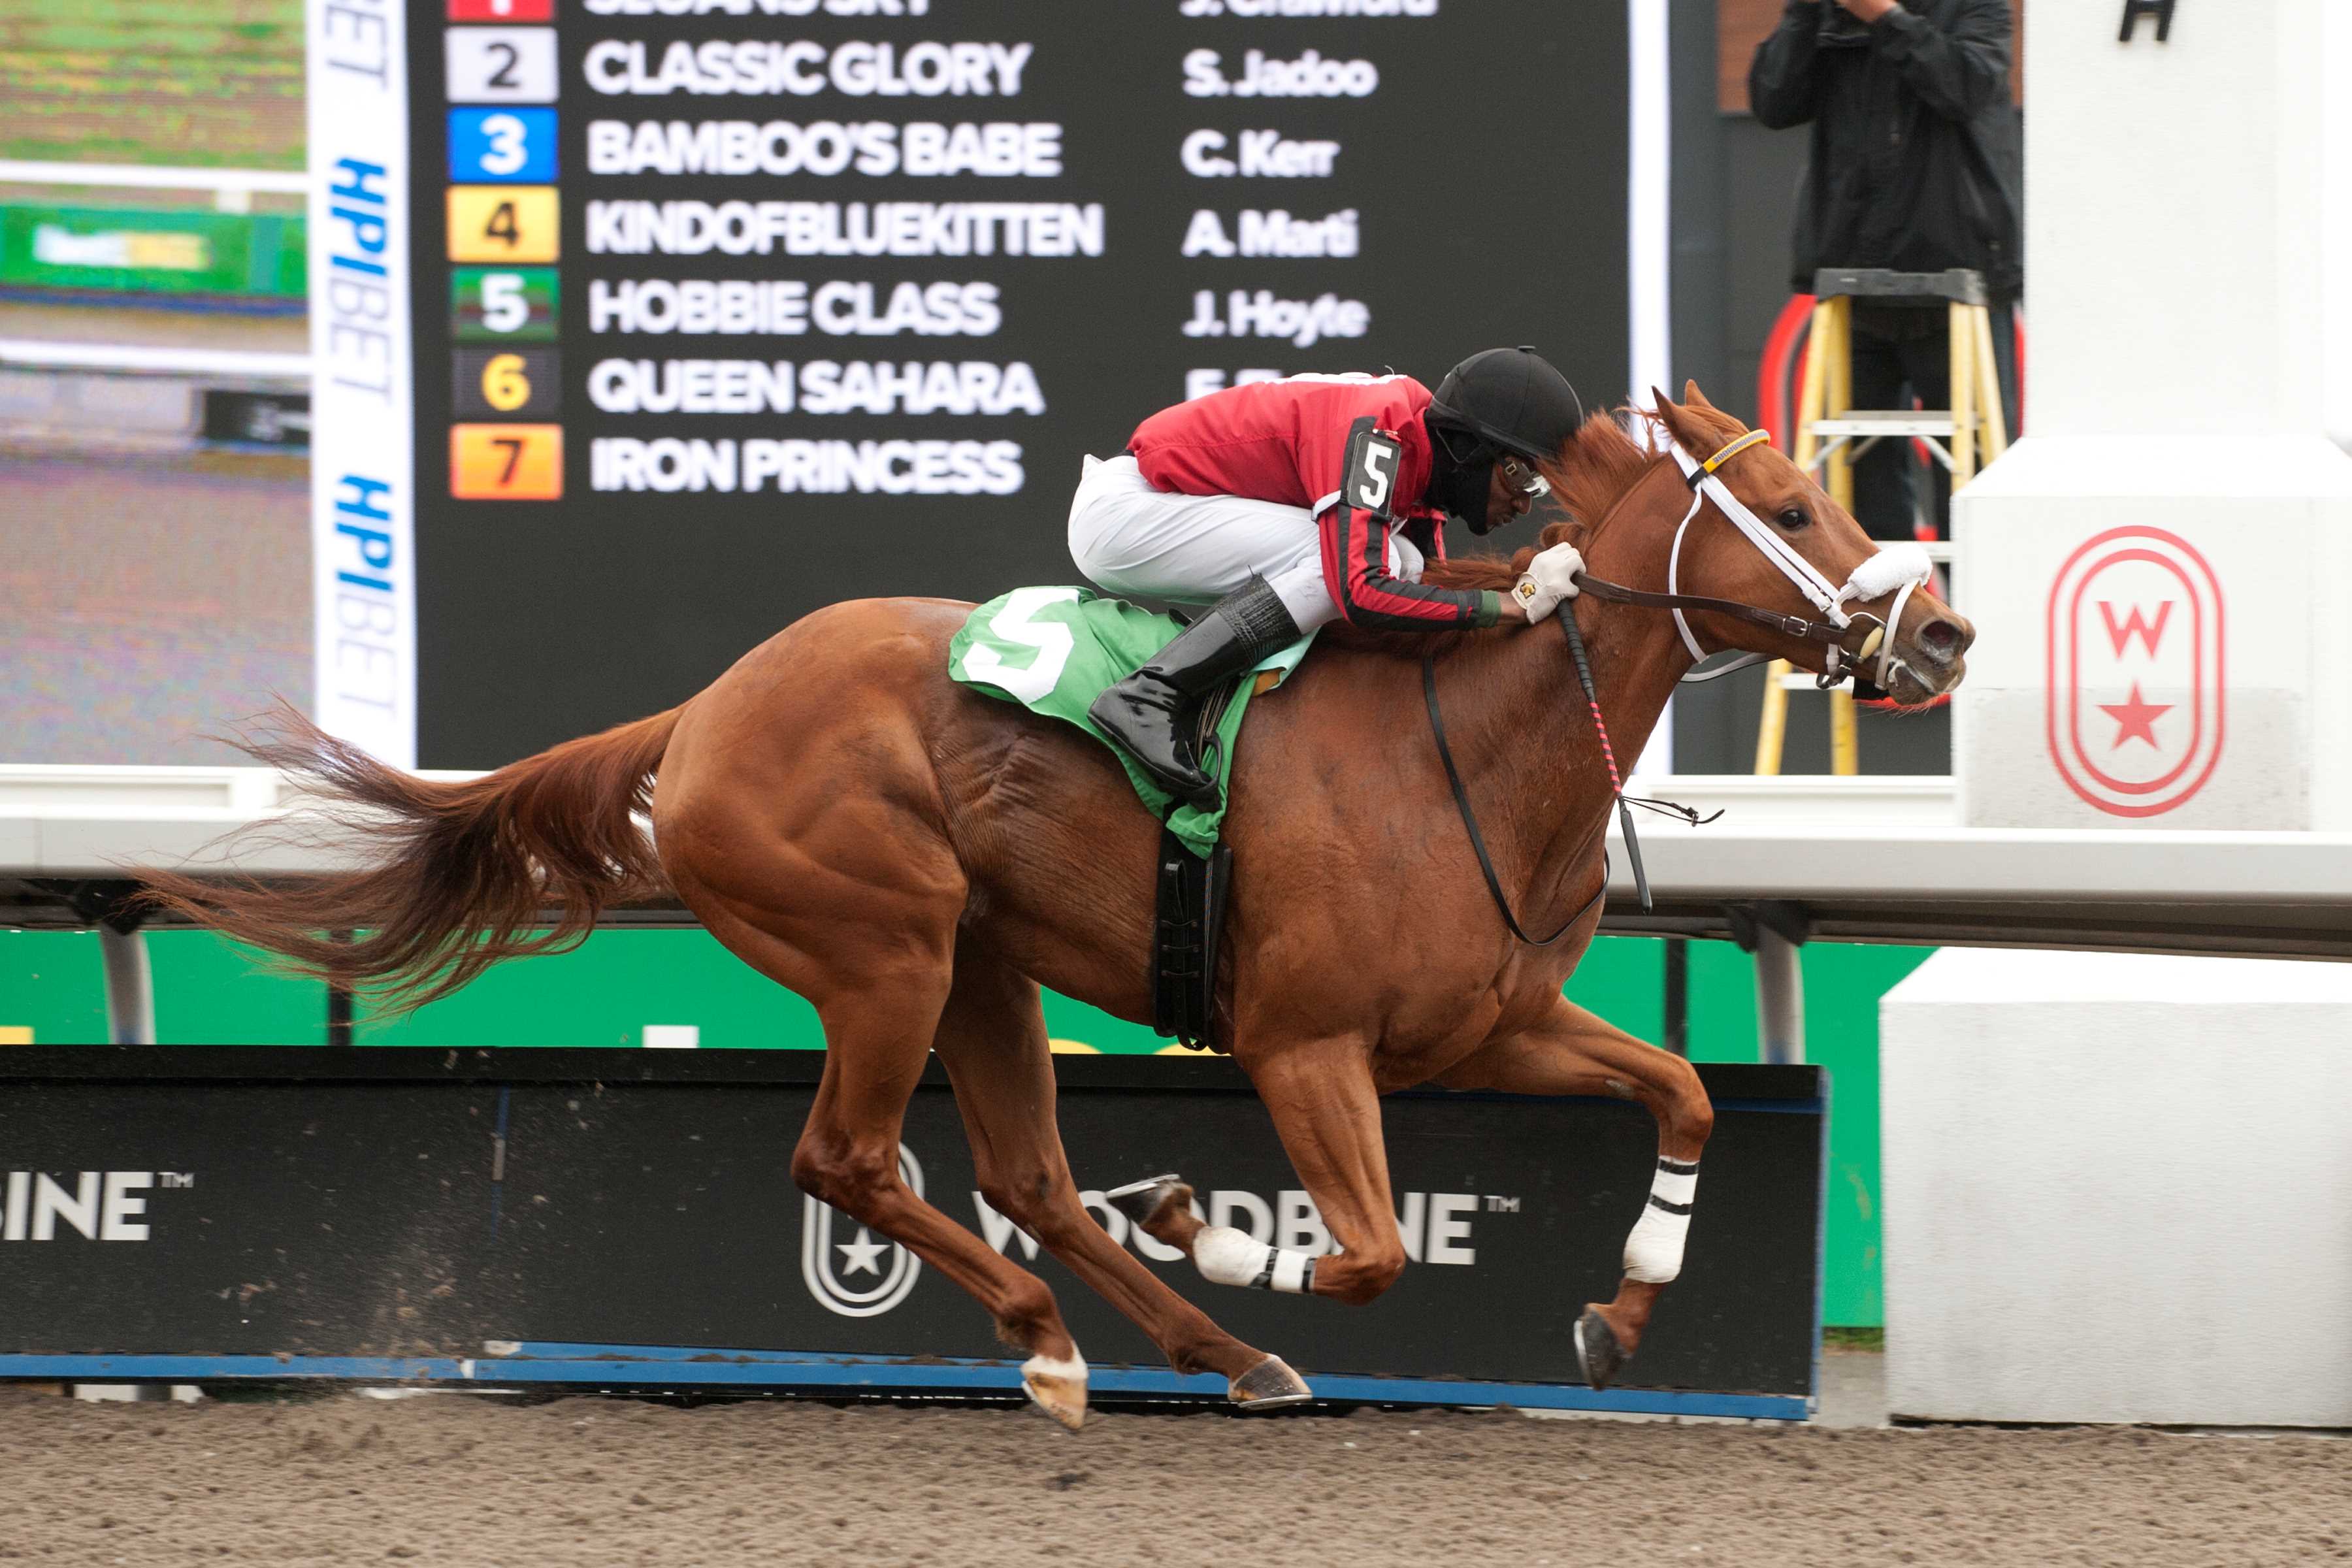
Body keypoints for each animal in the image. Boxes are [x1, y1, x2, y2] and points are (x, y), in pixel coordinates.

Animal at [147, 390, 1966, 1420]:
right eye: (1791, 511)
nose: (1939, 632)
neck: (1471, 747)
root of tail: (704, 709)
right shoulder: (1305, 1044)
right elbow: (1369, 1248)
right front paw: (1209, 1215)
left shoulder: (1490, 1025)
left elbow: (1684, 1096)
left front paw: (1623, 1306)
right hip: (883, 946)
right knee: (852, 1161)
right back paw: (1055, 1339)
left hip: (981, 965)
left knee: (1022, 1169)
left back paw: (1211, 1349)